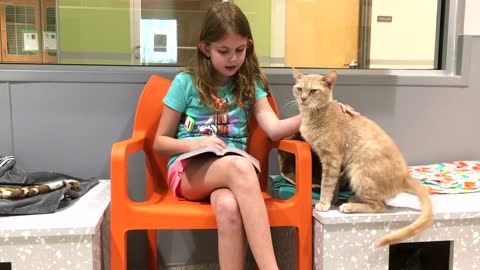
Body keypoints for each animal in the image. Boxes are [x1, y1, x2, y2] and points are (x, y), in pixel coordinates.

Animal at [292, 68, 436, 246]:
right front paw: (332, 200)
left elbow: (327, 184)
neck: (315, 115)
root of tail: (404, 177)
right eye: (299, 89)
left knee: (380, 206)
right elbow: (334, 185)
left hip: (359, 173)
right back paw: (354, 198)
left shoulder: (332, 159)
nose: (303, 98)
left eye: (313, 91)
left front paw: (324, 203)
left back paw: (350, 206)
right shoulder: (337, 164)